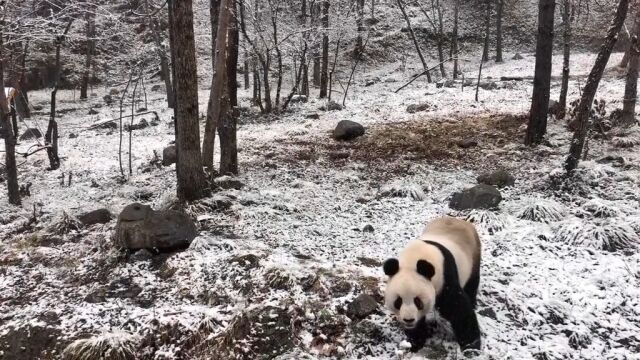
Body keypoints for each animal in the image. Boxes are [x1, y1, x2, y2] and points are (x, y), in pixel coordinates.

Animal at [380, 217, 480, 352]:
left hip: (473, 257)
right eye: (398, 301)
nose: (408, 319)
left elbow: (458, 308)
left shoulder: (445, 277)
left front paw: (472, 346)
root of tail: (460, 220)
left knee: (472, 283)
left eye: (417, 301)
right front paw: (415, 342)